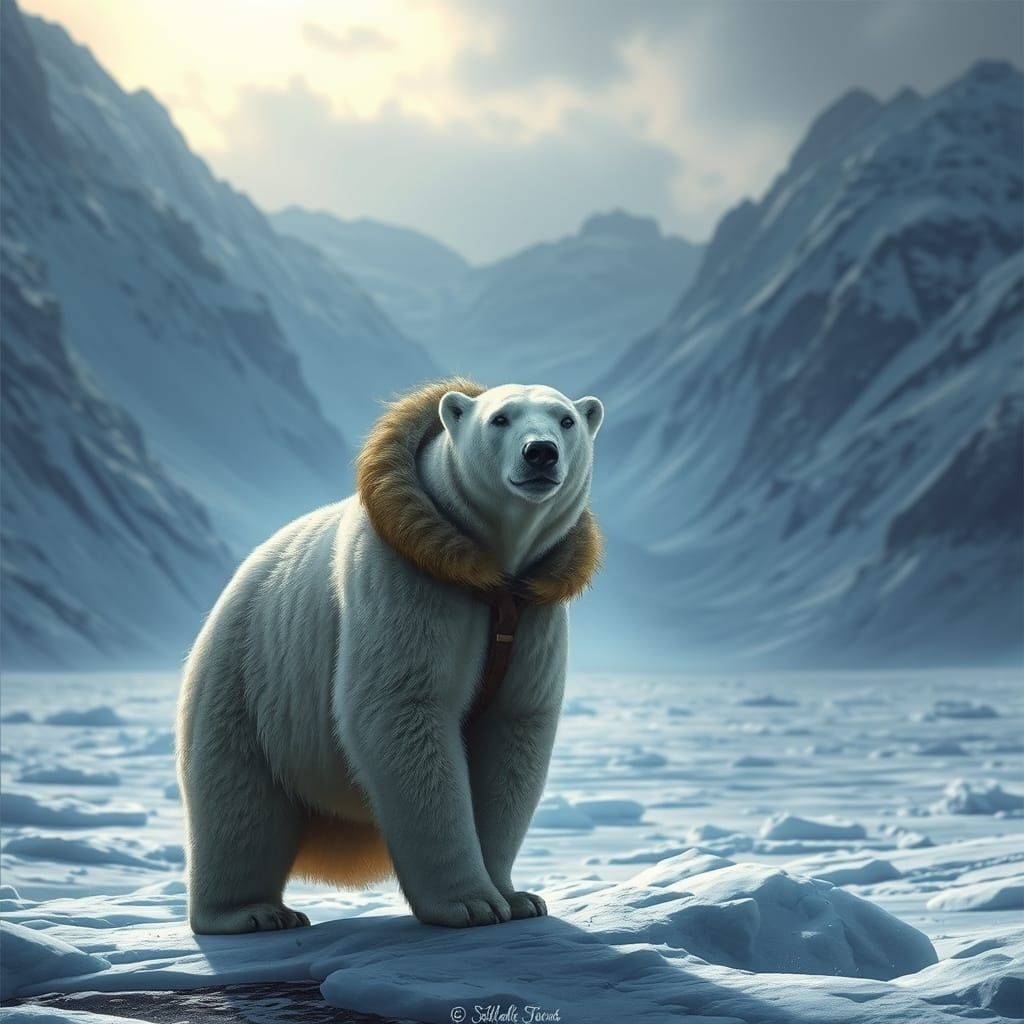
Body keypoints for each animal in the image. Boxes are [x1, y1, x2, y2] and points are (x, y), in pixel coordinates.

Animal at [176, 378, 604, 933]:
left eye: (566, 420)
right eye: (501, 418)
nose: (541, 453)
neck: (487, 572)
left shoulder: (535, 610)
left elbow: (515, 729)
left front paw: (518, 897)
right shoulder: (407, 585)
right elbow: (402, 709)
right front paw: (472, 904)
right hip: (249, 680)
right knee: (240, 804)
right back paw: (253, 911)